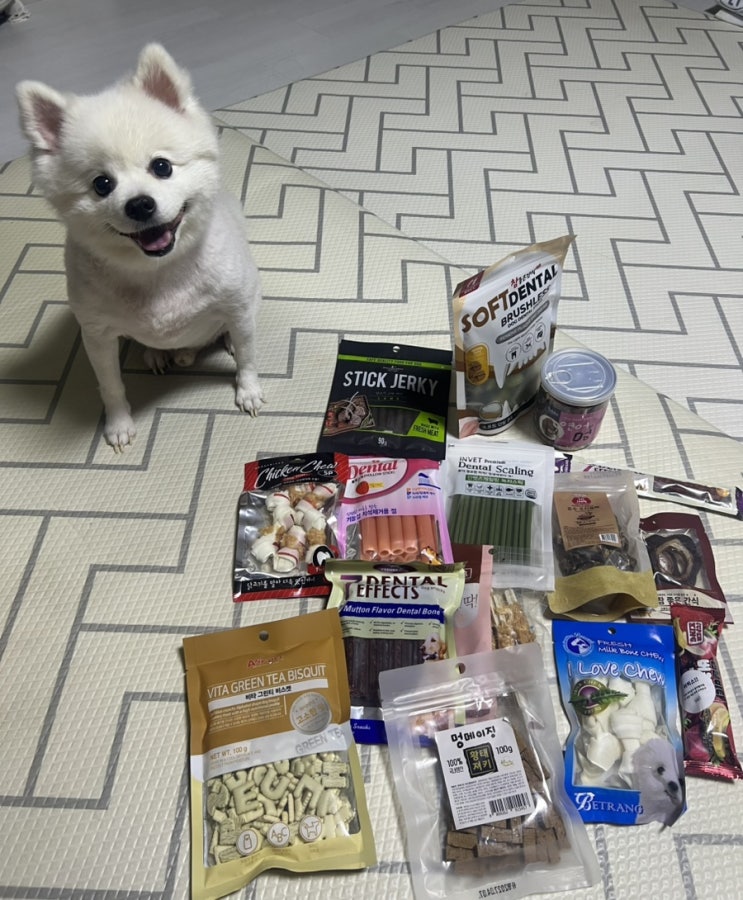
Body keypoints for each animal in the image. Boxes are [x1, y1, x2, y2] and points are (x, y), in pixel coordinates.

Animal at [16, 44, 264, 450]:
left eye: (161, 166)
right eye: (102, 184)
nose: (139, 204)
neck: (159, 273)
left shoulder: (237, 305)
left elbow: (247, 356)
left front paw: (249, 390)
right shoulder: (97, 335)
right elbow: (111, 385)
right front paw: (118, 424)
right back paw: (156, 355)